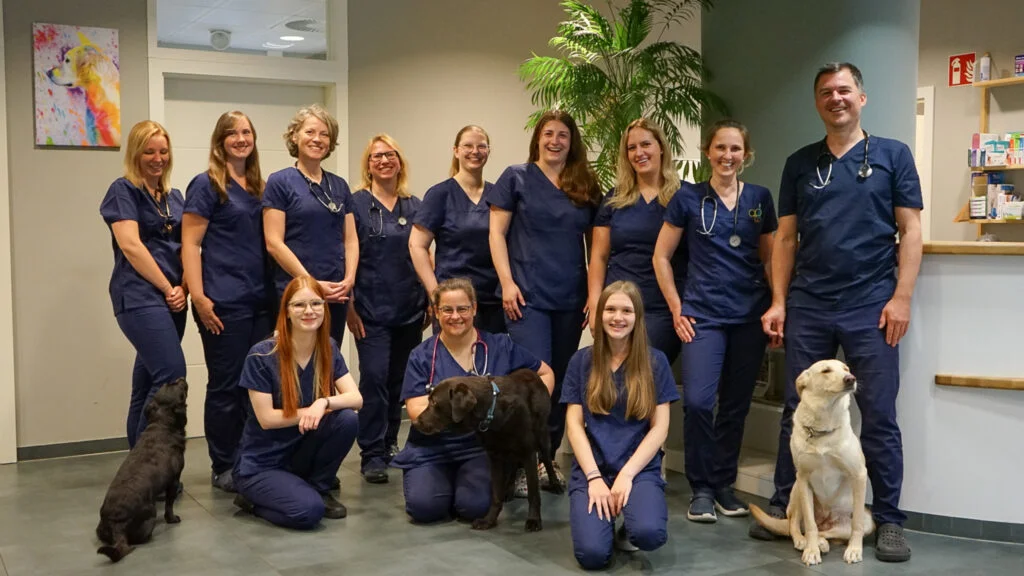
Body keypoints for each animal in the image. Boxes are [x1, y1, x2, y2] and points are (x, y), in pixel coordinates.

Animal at [96, 378, 188, 562]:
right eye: (176, 385)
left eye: (170, 384)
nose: (181, 378)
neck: (162, 424)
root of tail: (116, 524)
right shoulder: (174, 480)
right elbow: (169, 504)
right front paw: (172, 519)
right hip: (150, 513)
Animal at [414, 368, 563, 531]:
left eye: (434, 402)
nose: (415, 422)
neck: (492, 411)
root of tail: (530, 371)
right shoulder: (495, 457)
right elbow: (496, 495)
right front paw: (489, 520)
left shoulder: (528, 452)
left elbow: (533, 493)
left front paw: (534, 520)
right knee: (513, 465)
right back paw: (509, 490)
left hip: (542, 435)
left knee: (547, 460)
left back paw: (555, 484)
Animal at [750, 360, 874, 566]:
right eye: (826, 371)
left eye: (846, 369)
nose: (851, 379)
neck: (823, 426)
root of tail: (826, 521)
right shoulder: (804, 478)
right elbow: (809, 524)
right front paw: (811, 551)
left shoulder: (859, 475)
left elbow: (856, 523)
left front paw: (854, 550)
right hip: (797, 491)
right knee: (796, 524)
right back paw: (806, 541)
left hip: (867, 520)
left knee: (828, 531)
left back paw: (824, 541)